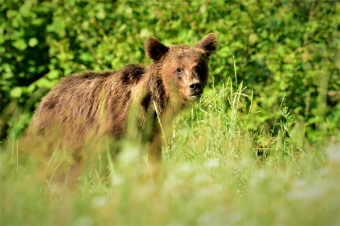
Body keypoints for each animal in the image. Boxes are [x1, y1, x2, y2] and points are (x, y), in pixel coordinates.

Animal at [27, 33, 216, 164]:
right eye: (178, 69)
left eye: (198, 66)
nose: (194, 86)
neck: (152, 102)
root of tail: (47, 96)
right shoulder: (113, 123)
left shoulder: (152, 130)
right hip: (54, 132)